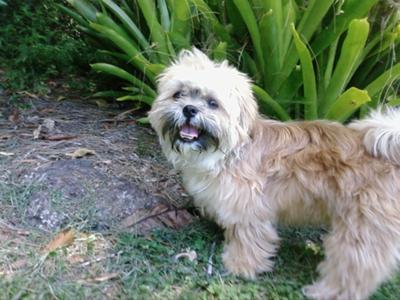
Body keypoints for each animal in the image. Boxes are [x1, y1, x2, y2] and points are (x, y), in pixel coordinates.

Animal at [148, 48, 400, 298]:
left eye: (212, 103)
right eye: (178, 94)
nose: (189, 109)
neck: (232, 149)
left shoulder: (248, 208)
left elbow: (247, 239)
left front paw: (241, 265)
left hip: (362, 229)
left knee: (356, 267)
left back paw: (327, 291)